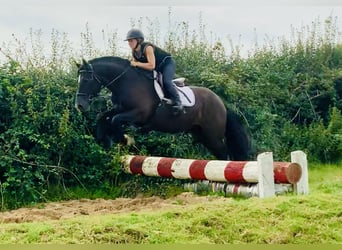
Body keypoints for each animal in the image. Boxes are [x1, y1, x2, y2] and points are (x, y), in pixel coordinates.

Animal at [76, 56, 250, 160]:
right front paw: (104, 140)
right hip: (202, 135)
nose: (80, 105)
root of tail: (220, 102)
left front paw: (125, 139)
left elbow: (115, 120)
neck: (126, 83)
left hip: (213, 135)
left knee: (224, 154)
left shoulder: (139, 114)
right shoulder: (120, 108)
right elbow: (104, 117)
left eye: (86, 80)